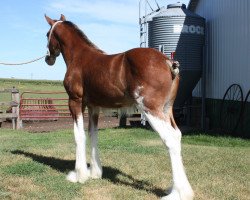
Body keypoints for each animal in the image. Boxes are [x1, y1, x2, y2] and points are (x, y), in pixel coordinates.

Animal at [45, 15, 193, 200]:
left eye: (47, 35)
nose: (48, 58)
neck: (80, 57)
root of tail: (168, 62)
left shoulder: (75, 102)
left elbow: (79, 136)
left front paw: (79, 176)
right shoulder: (94, 107)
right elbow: (93, 135)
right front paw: (95, 173)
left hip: (151, 110)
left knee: (170, 139)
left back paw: (178, 193)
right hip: (167, 110)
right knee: (178, 136)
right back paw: (177, 189)